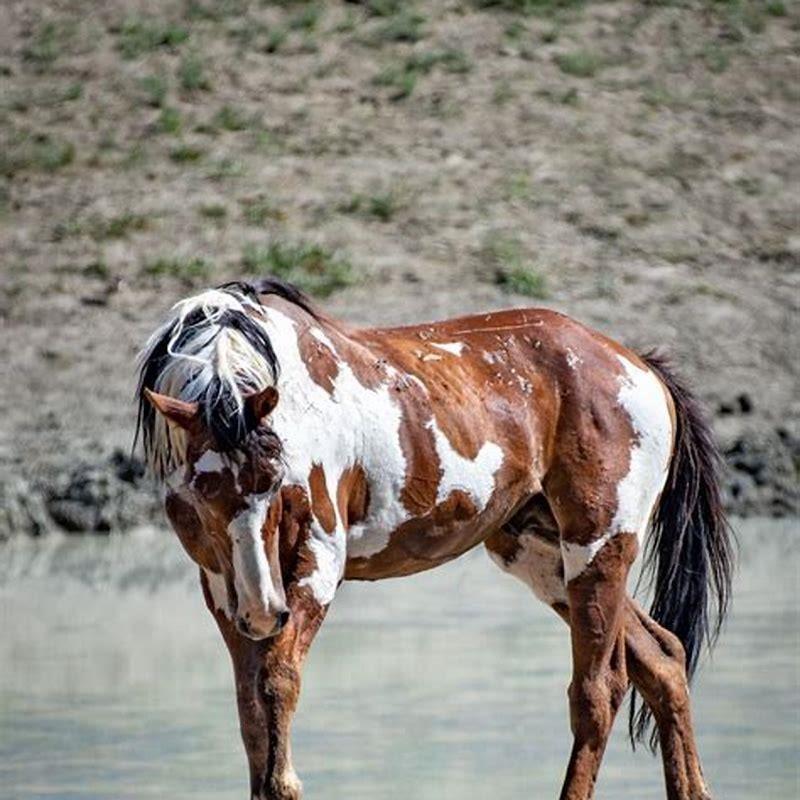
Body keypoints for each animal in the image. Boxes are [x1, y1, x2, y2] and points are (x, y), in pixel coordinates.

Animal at [136, 276, 734, 800]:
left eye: (275, 475)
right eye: (202, 489)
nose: (263, 610)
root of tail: (638, 365)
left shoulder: (317, 563)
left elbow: (278, 686)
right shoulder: (222, 588)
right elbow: (252, 716)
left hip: (600, 547)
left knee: (598, 692)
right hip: (544, 557)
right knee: (663, 659)